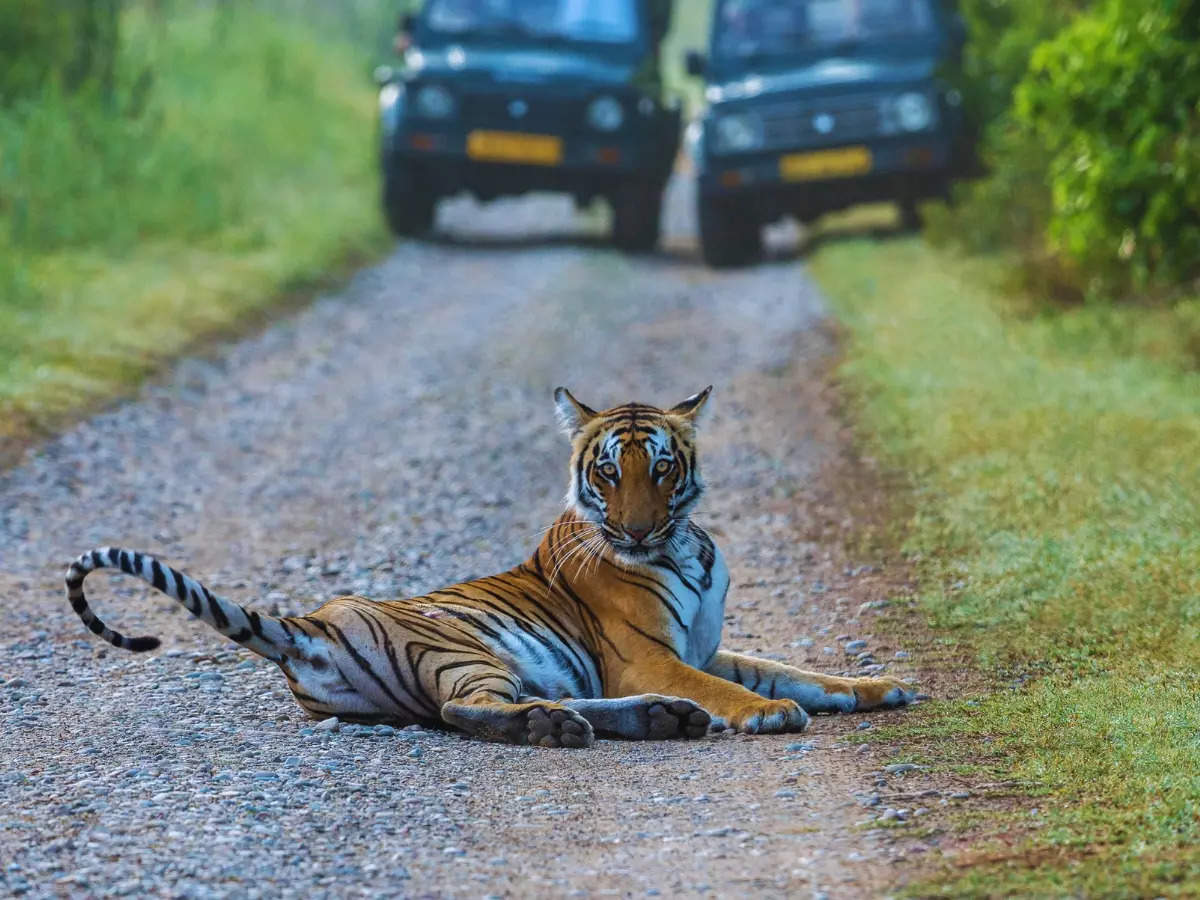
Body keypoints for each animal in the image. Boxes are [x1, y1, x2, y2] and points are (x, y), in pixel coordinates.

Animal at [65, 388, 916, 748]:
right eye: (608, 473)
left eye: (663, 469)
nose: (637, 529)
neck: (685, 545)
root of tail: (312, 623)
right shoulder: (647, 655)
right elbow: (740, 689)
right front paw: (768, 713)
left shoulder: (704, 647)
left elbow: (796, 669)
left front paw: (876, 688)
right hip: (466, 649)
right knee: (462, 712)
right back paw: (569, 728)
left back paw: (652, 719)